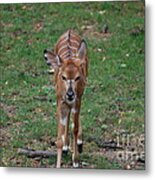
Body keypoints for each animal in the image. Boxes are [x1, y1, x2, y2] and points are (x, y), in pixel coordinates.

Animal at [43, 29, 88, 167]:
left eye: (78, 77)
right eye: (63, 76)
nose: (70, 94)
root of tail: (70, 31)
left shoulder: (77, 100)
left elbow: (75, 128)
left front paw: (76, 160)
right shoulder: (60, 101)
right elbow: (58, 138)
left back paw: (78, 143)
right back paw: (66, 146)